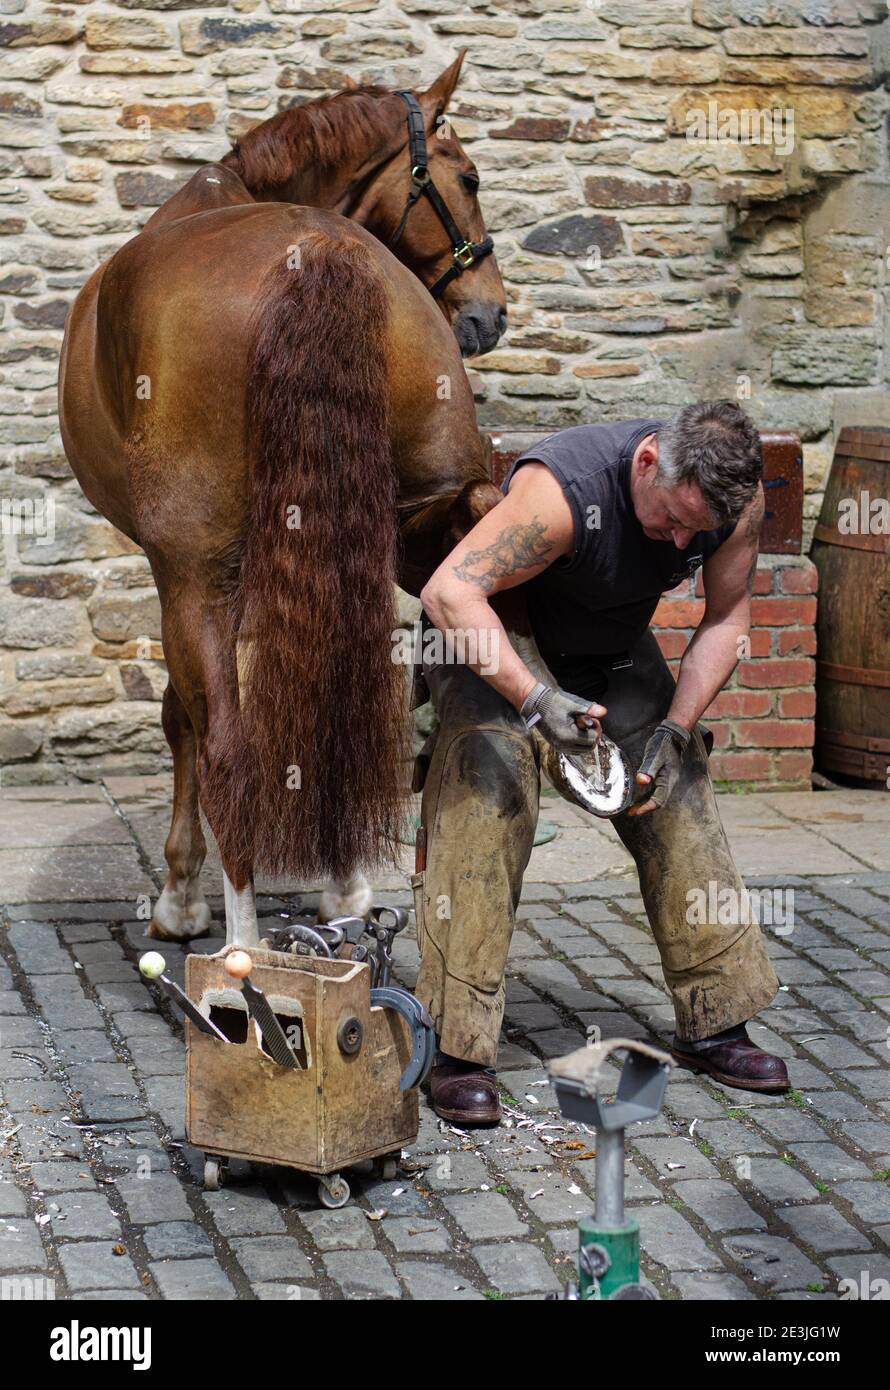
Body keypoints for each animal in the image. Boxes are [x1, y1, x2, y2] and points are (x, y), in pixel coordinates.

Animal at [58, 53, 509, 947]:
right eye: (468, 176)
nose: (491, 312)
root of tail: (316, 253)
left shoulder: (185, 567)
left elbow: (184, 714)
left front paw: (179, 892)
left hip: (197, 571)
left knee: (228, 741)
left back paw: (239, 950)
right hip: (391, 537)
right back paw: (343, 888)